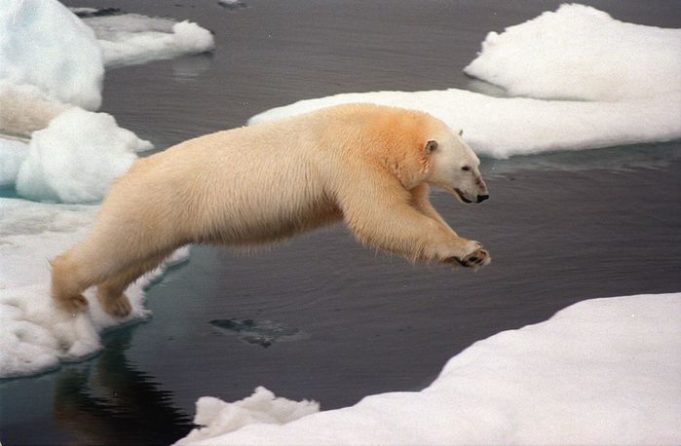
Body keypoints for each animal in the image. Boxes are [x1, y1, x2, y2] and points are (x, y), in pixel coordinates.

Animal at [51, 104, 490, 318]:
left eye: (477, 163)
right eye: (466, 168)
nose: (484, 196)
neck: (383, 133)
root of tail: (124, 176)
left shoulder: (399, 175)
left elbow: (417, 210)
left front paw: (472, 253)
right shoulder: (353, 160)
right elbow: (380, 217)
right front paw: (469, 249)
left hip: (164, 218)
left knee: (140, 256)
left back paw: (116, 301)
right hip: (152, 203)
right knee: (112, 247)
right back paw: (69, 297)